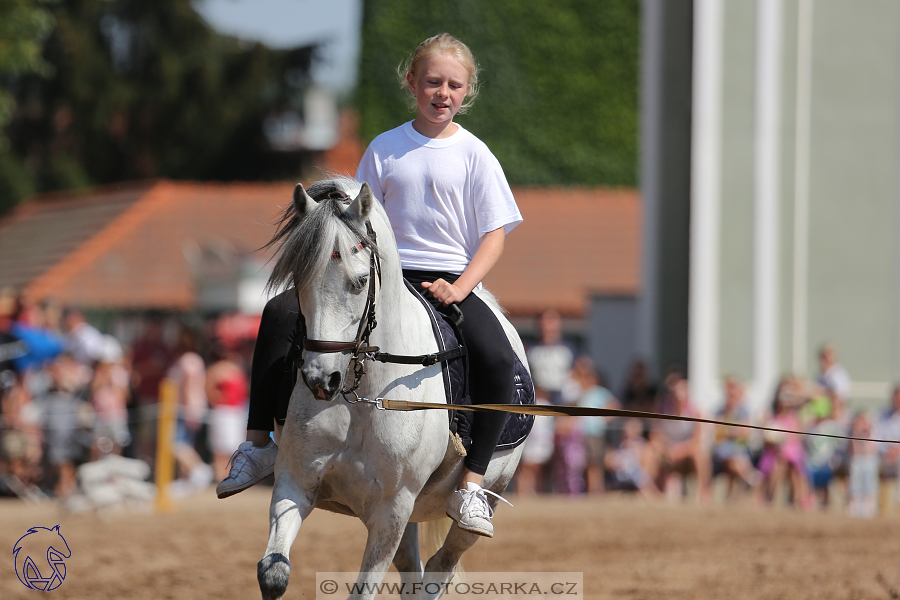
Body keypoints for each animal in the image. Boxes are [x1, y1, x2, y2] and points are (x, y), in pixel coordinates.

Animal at [256, 176, 528, 596]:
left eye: (361, 281)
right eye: (299, 281)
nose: (320, 380)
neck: (361, 397)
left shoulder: (391, 511)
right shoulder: (294, 482)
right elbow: (273, 573)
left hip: (483, 495)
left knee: (438, 569)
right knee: (414, 572)